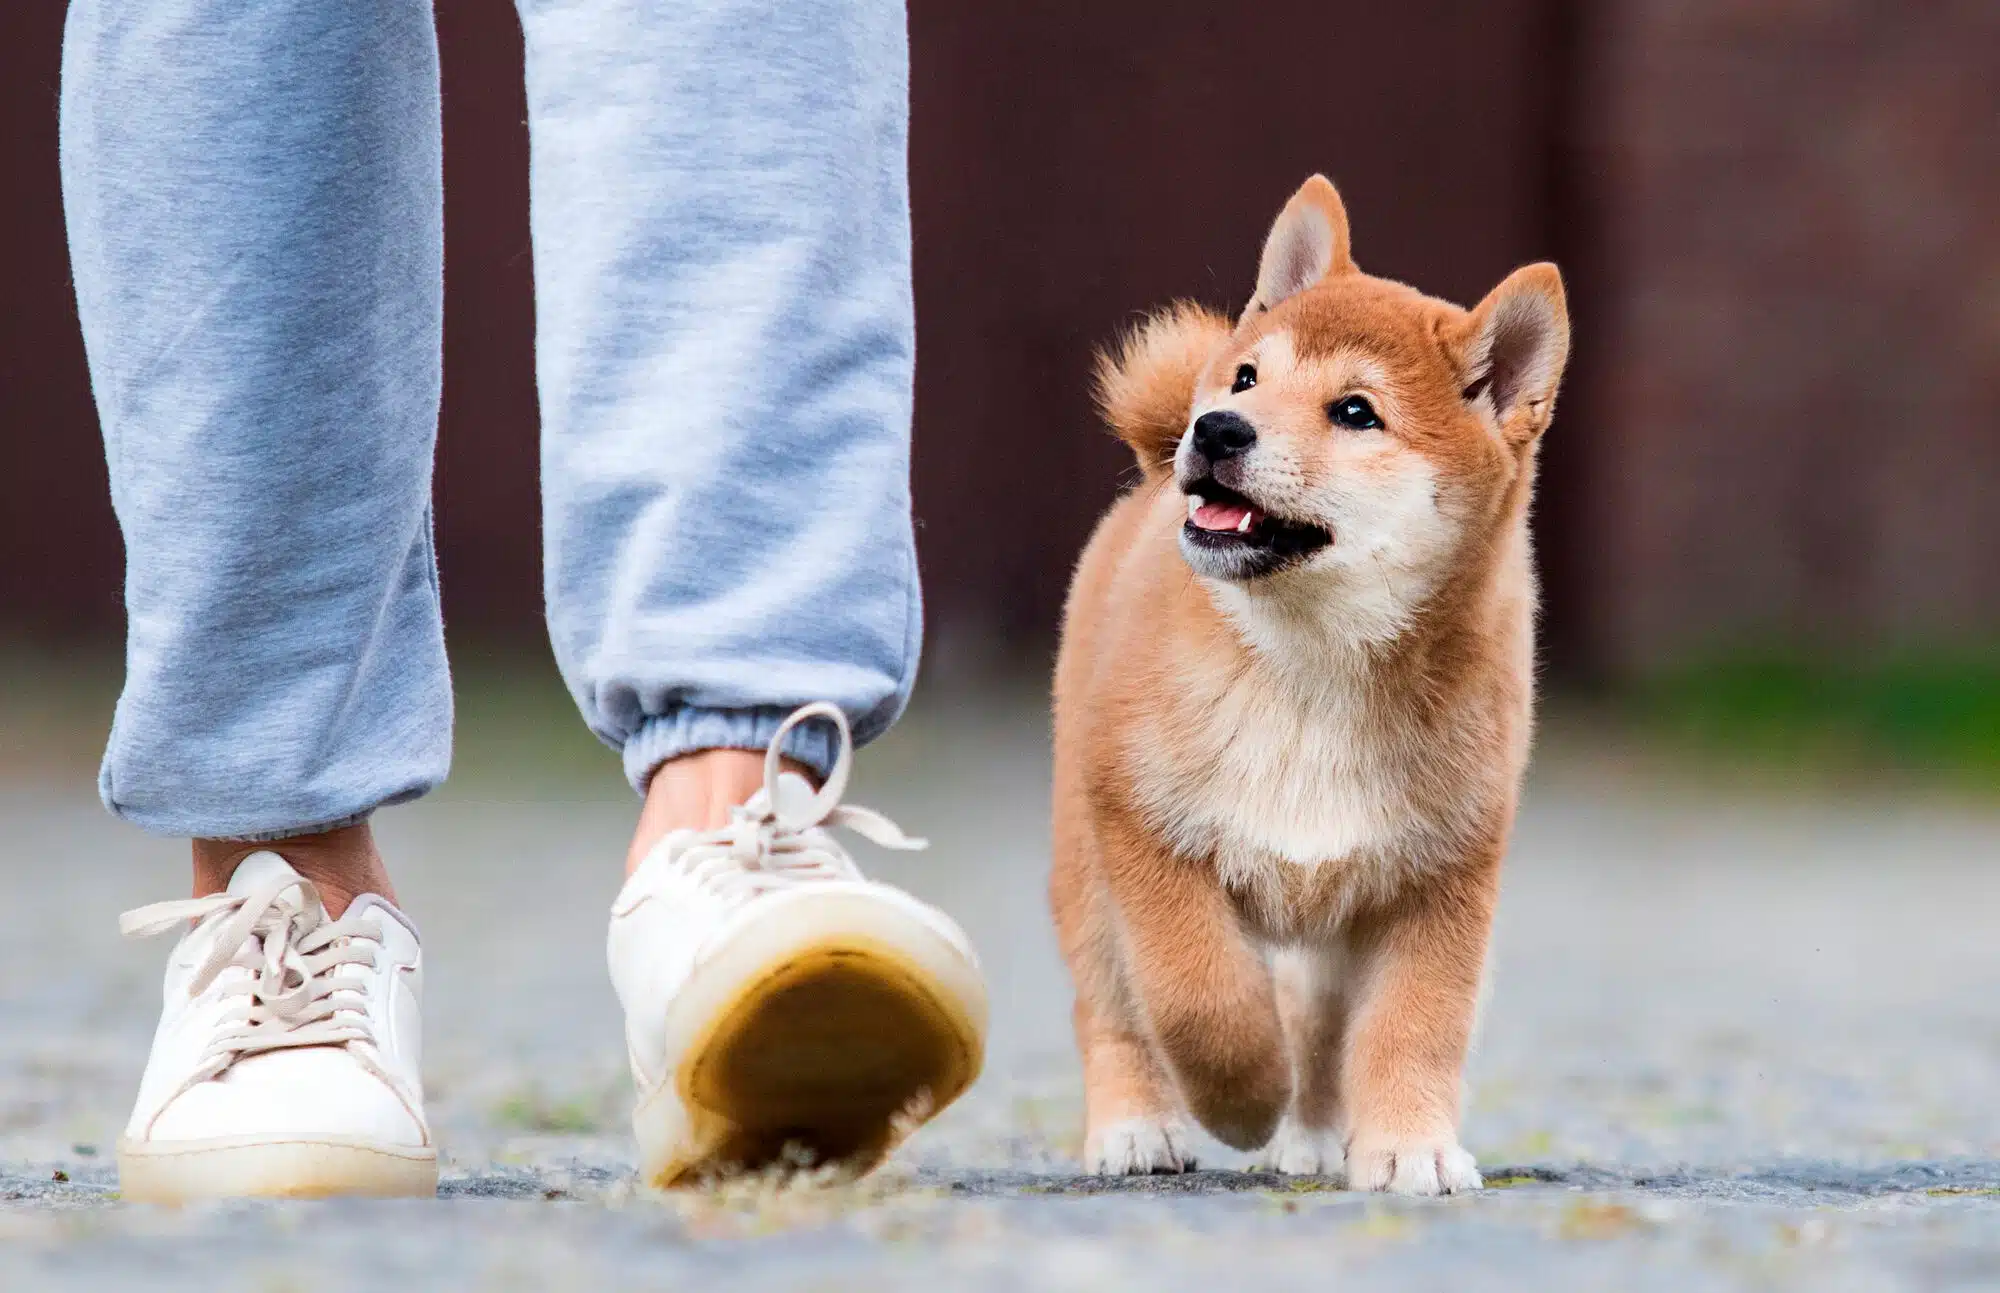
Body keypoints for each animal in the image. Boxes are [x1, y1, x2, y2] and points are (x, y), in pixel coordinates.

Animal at [1048, 177, 1560, 1200]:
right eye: (1246, 379)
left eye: (1356, 412)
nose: (1215, 428)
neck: (1312, 666)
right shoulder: (1144, 830)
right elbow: (1200, 997)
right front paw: (1244, 1096)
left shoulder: (1441, 877)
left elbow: (1415, 1025)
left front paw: (1409, 1144)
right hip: (1086, 868)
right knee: (1113, 1008)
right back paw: (1136, 1125)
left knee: (1321, 1030)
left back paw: (1318, 1134)